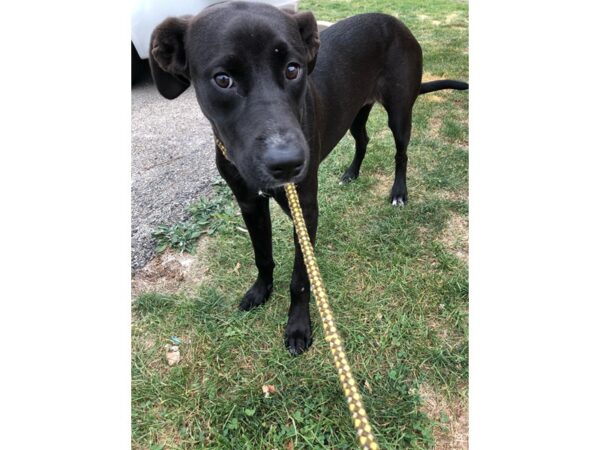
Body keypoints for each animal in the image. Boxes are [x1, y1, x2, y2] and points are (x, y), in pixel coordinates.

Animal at [150, 2, 468, 356]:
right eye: (222, 79)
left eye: (293, 69)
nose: (287, 163)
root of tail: (396, 23)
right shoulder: (249, 205)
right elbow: (262, 256)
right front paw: (260, 291)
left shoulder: (305, 210)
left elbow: (301, 278)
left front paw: (299, 327)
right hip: (354, 112)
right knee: (363, 140)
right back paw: (351, 173)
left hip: (400, 112)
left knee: (401, 153)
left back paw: (399, 192)